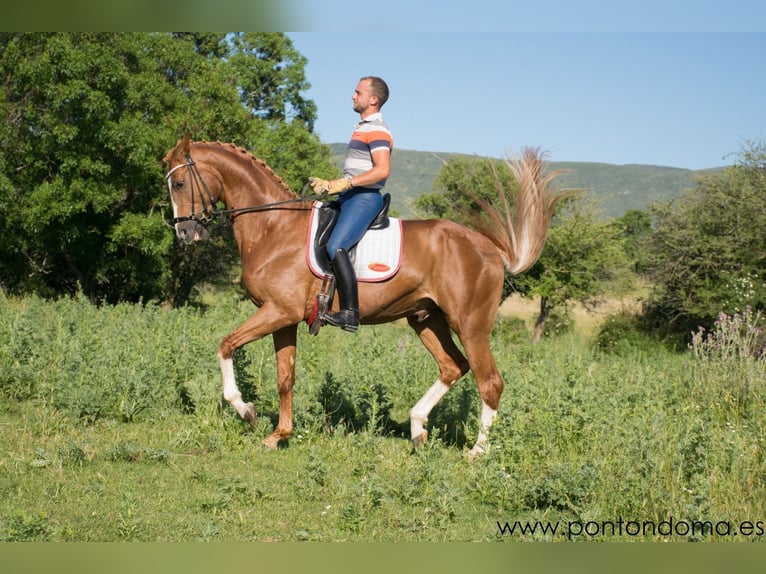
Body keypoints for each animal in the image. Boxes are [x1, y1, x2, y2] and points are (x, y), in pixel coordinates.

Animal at [164, 135, 564, 460]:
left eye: (180, 182)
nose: (184, 233)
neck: (273, 227)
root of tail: (492, 251)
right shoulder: (283, 317)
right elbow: (285, 377)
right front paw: (279, 435)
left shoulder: (278, 311)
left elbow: (226, 345)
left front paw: (246, 411)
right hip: (425, 319)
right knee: (453, 367)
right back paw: (417, 428)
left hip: (470, 323)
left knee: (489, 381)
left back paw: (477, 452)